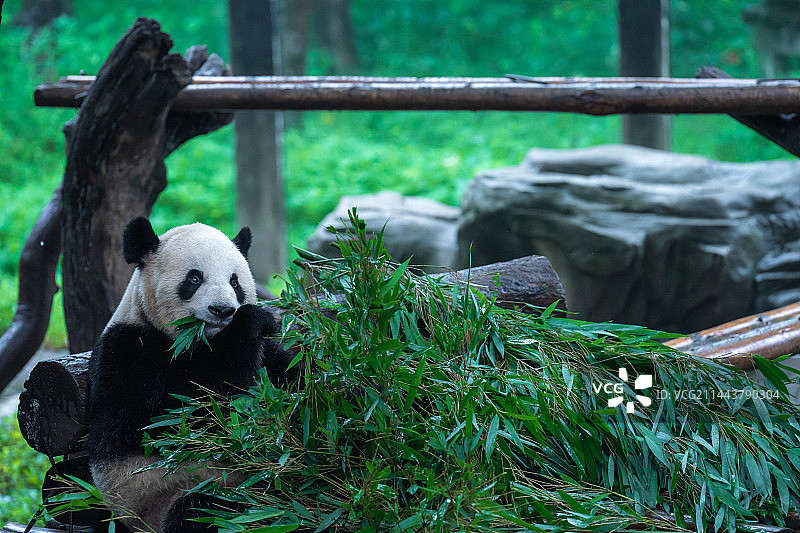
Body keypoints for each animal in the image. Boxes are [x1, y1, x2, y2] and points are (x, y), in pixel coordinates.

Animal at [87, 217, 298, 532]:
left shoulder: (271, 355)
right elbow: (199, 418)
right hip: (170, 497)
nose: (222, 310)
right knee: (201, 511)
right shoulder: (131, 354)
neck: (200, 343)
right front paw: (250, 322)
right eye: (194, 279)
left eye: (234, 281)